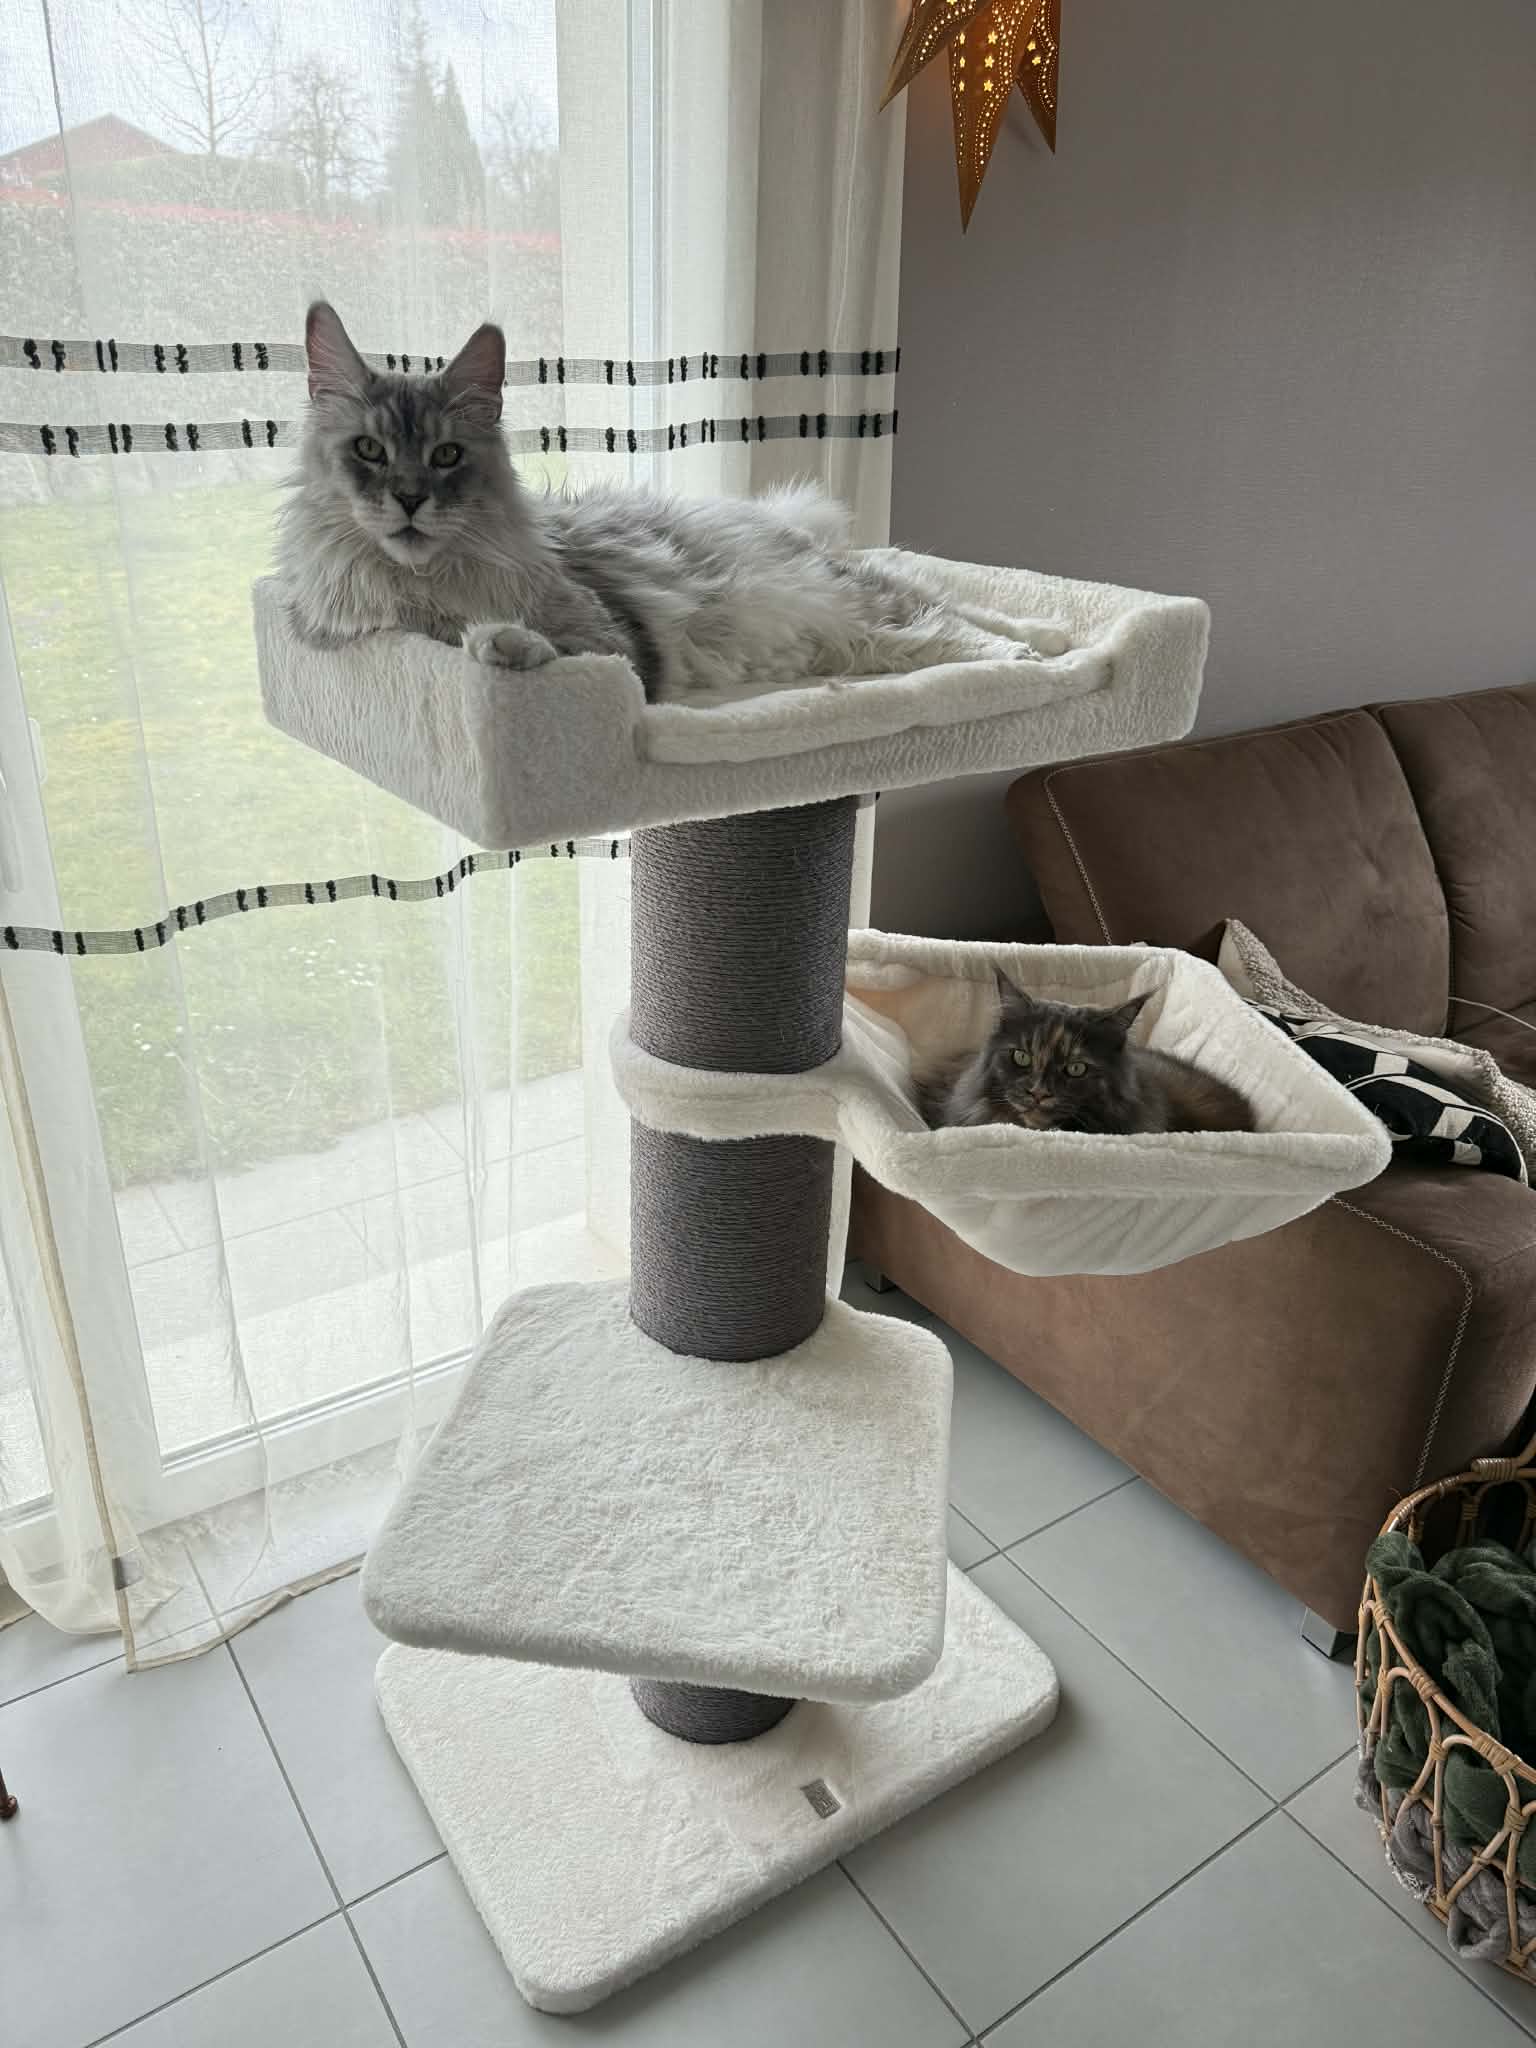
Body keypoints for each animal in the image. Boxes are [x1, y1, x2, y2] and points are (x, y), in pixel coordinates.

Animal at [276, 303, 1073, 704]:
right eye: (370, 451)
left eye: (446, 456)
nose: (410, 500)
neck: (427, 585)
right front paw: (482, 642)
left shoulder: (617, 643)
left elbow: (553, 646)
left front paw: (500, 643)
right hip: (874, 634)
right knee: (949, 617)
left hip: (867, 603)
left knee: (969, 617)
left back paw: (1051, 651)